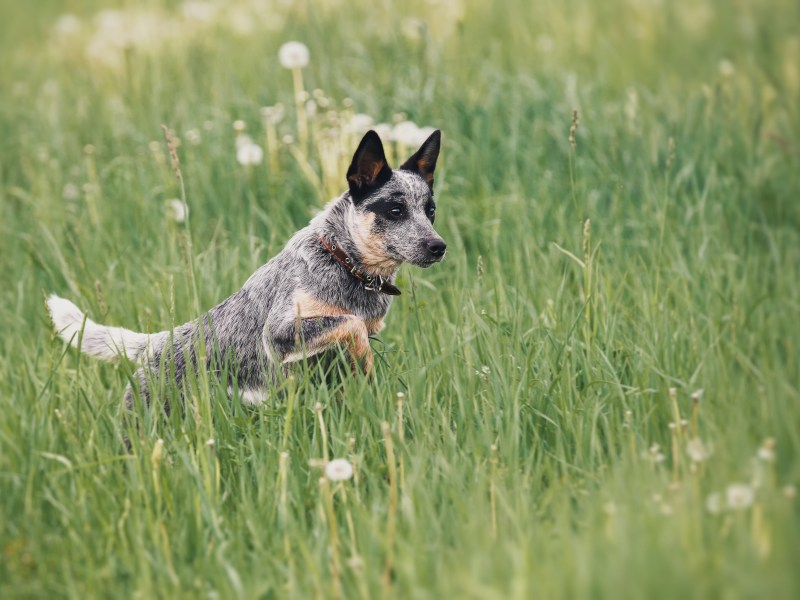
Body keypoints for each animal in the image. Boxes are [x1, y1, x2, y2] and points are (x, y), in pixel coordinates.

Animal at [45, 129, 444, 410]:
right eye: (395, 210)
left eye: (430, 211)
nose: (439, 247)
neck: (343, 263)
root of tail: (156, 344)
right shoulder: (279, 332)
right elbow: (351, 324)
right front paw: (366, 364)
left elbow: (353, 331)